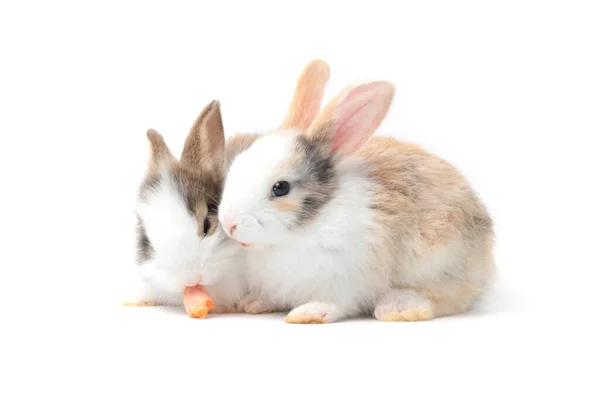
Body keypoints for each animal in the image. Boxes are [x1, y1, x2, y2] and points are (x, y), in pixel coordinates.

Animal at [218, 59, 494, 324]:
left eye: (281, 188)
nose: (229, 224)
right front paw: (254, 303)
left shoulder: (345, 278)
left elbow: (335, 302)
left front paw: (308, 314)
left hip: (439, 259)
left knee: (449, 295)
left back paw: (400, 307)